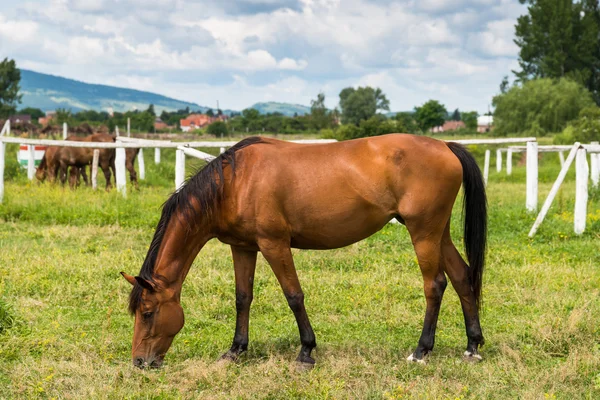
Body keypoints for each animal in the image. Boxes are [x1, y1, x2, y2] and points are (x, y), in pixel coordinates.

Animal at [120, 134, 488, 368]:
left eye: (148, 312)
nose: (140, 362)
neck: (235, 182)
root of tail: (445, 146)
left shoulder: (274, 244)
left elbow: (294, 295)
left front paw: (306, 352)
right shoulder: (243, 247)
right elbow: (243, 297)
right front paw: (235, 351)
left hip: (423, 232)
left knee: (435, 285)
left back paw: (421, 351)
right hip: (437, 233)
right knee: (461, 276)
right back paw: (472, 346)